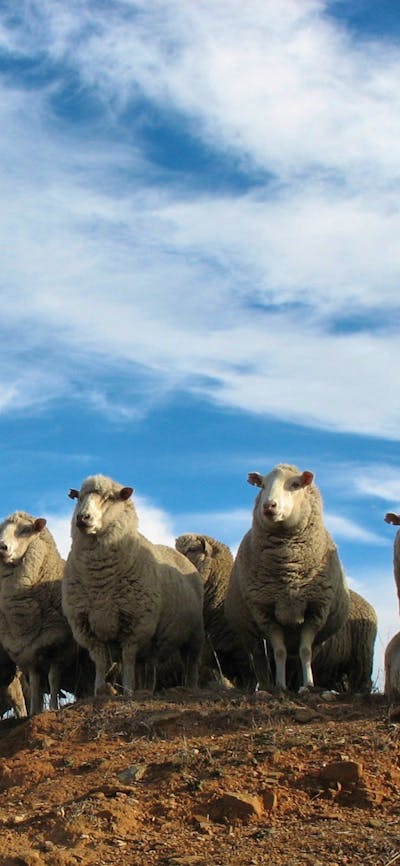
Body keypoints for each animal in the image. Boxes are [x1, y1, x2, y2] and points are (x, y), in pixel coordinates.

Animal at [0, 511, 75, 714]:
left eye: (26, 530)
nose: (2, 546)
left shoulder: (58, 645)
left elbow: (53, 679)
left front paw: (53, 708)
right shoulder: (30, 650)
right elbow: (35, 684)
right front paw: (35, 712)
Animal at [62, 474, 205, 695]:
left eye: (109, 498)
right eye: (78, 498)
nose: (82, 518)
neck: (100, 582)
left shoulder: (135, 624)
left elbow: (128, 660)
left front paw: (128, 691)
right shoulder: (87, 628)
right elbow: (101, 663)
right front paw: (99, 691)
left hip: (194, 635)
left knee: (191, 664)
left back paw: (191, 688)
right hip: (155, 642)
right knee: (150, 665)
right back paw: (147, 690)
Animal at [224, 463, 350, 691]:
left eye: (295, 484)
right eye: (262, 485)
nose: (269, 506)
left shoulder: (315, 611)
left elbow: (305, 652)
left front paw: (308, 684)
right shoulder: (265, 613)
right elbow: (279, 652)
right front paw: (280, 685)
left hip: (319, 637)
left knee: (306, 653)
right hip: (250, 632)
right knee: (260, 657)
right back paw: (266, 686)